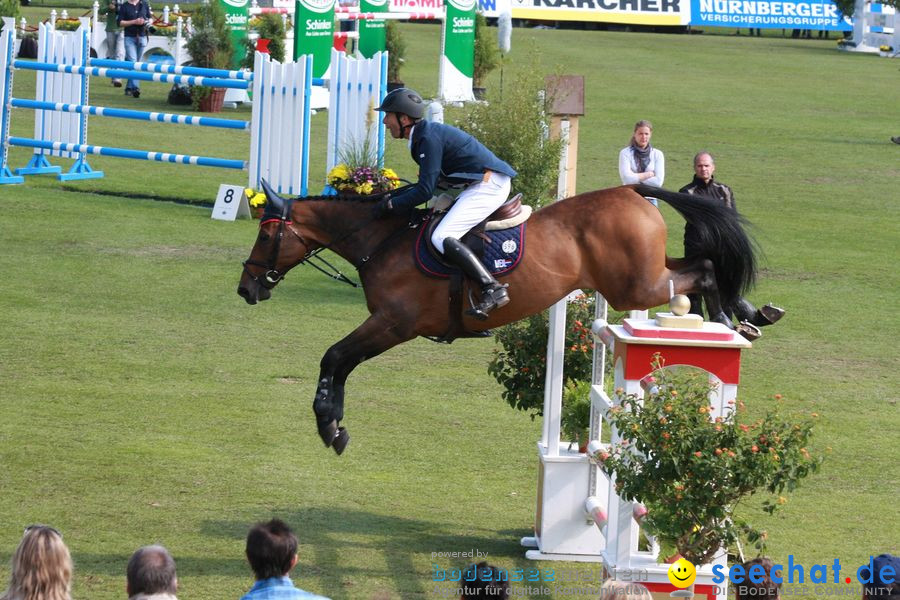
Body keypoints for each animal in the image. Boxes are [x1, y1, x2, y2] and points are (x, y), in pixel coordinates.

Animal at [239, 183, 760, 454]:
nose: (246, 288)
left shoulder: (392, 325)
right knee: (698, 267)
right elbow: (340, 363)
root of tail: (631, 190)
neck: (380, 242)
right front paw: (335, 425)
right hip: (645, 274)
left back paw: (731, 318)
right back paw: (741, 316)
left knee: (704, 268)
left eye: (265, 236)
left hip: (636, 287)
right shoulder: (387, 327)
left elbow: (334, 358)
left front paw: (328, 424)